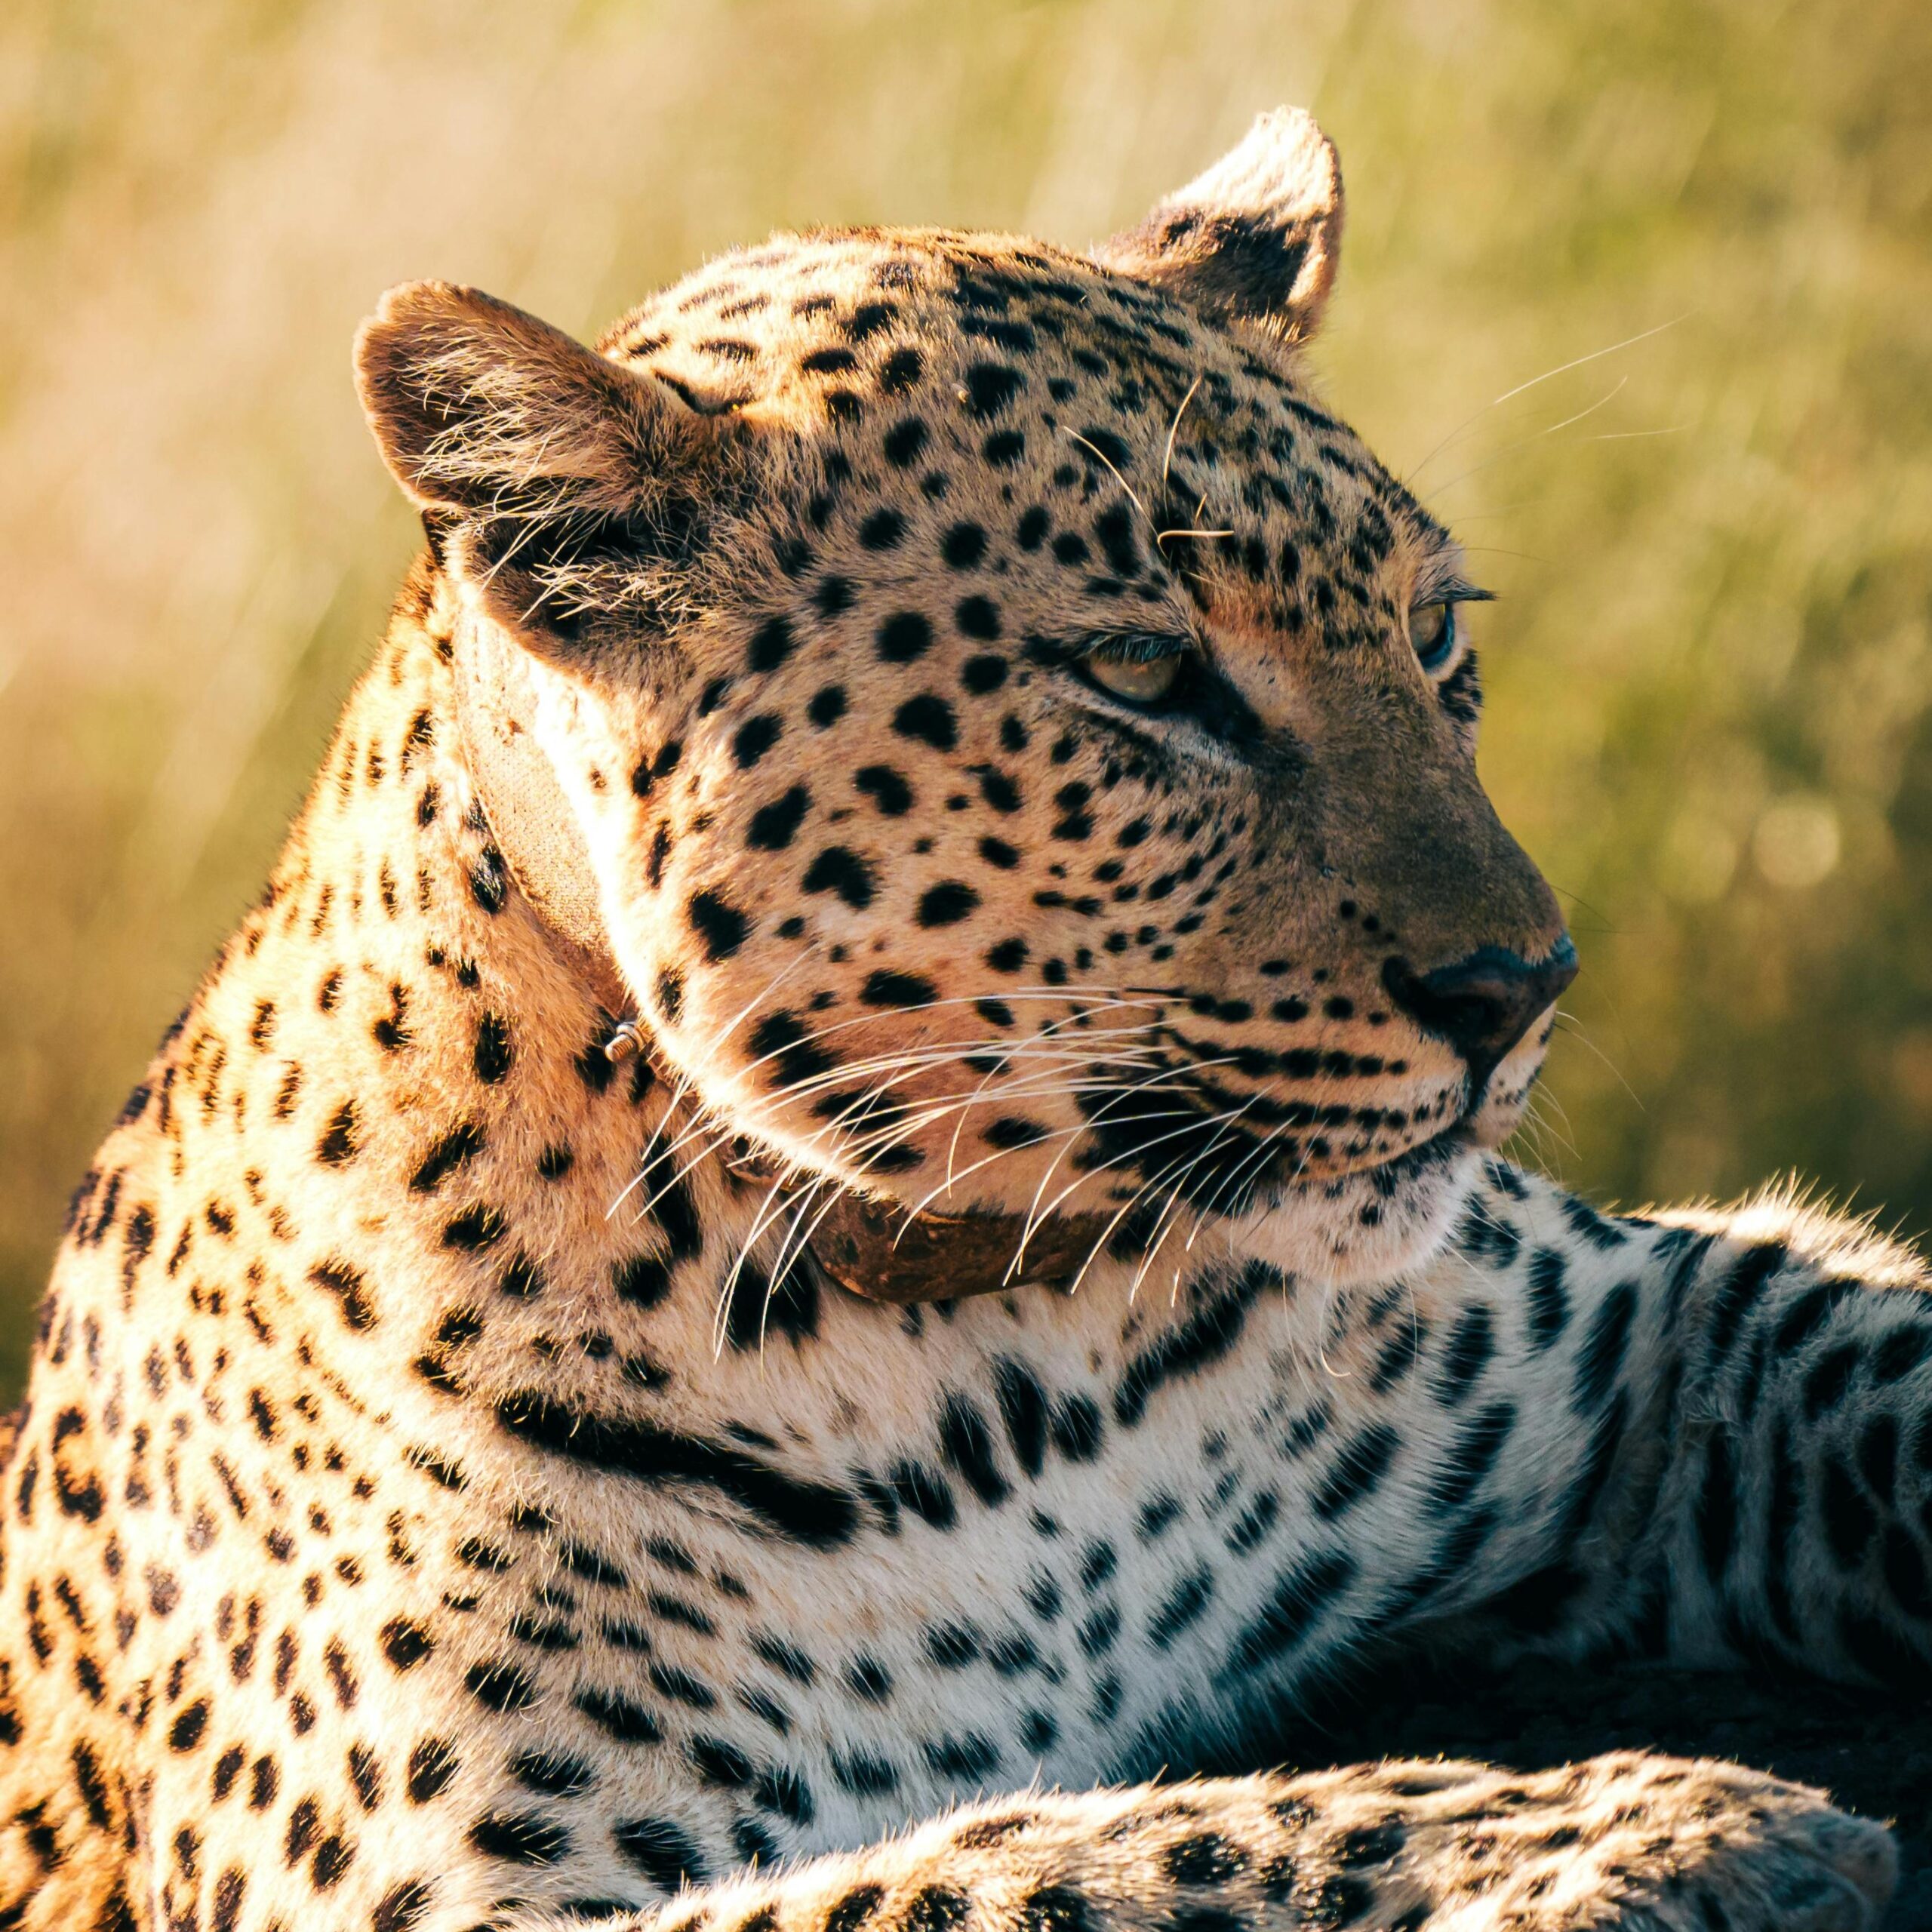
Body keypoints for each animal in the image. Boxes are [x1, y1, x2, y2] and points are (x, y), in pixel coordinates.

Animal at [1, 105, 1927, 1932]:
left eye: (1432, 630)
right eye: (1143, 673)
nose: (1522, 984)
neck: (999, 1355)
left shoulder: (1656, 1320)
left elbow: (1887, 1358)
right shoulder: (435, 1886)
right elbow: (1066, 1849)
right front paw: (1653, 1821)